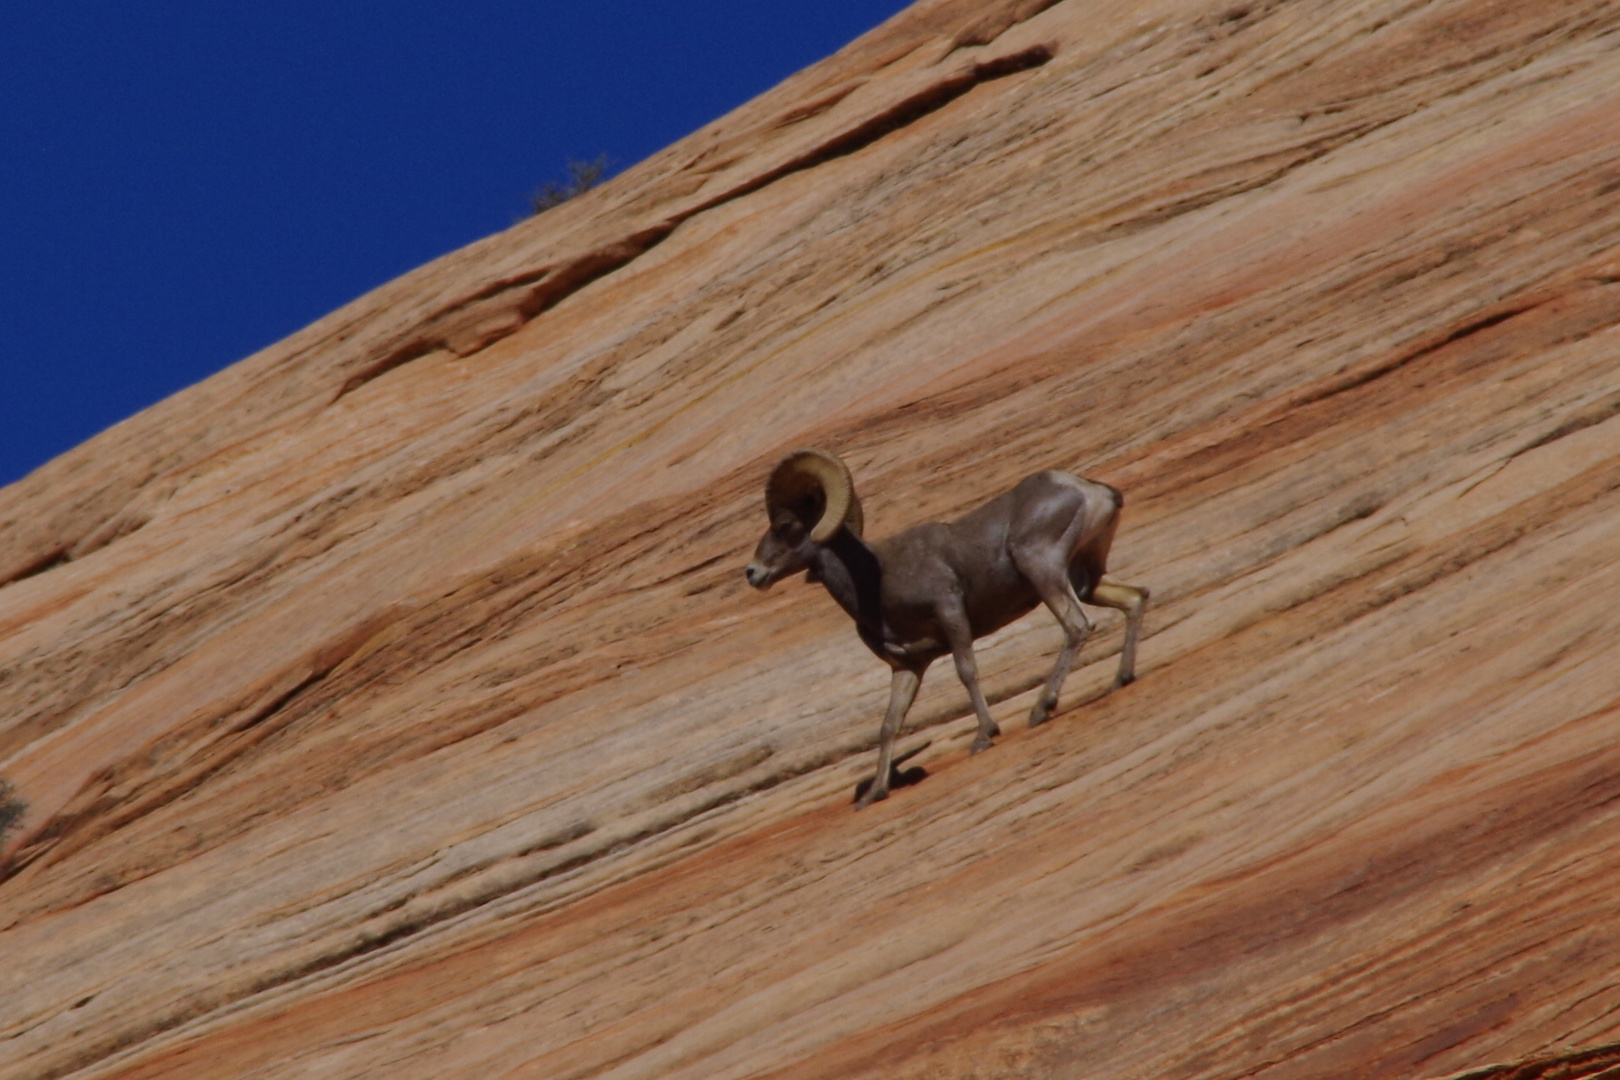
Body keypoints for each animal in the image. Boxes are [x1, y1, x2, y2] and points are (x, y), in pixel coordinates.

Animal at [741, 446, 1146, 809]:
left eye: (786, 526)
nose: (752, 573)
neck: (873, 579)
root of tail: (1089, 490)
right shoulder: (907, 666)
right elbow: (890, 722)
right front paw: (875, 794)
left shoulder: (951, 613)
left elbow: (966, 672)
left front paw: (984, 735)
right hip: (1086, 579)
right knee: (1135, 599)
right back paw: (1120, 679)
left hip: (1044, 572)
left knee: (1076, 627)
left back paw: (1040, 708)